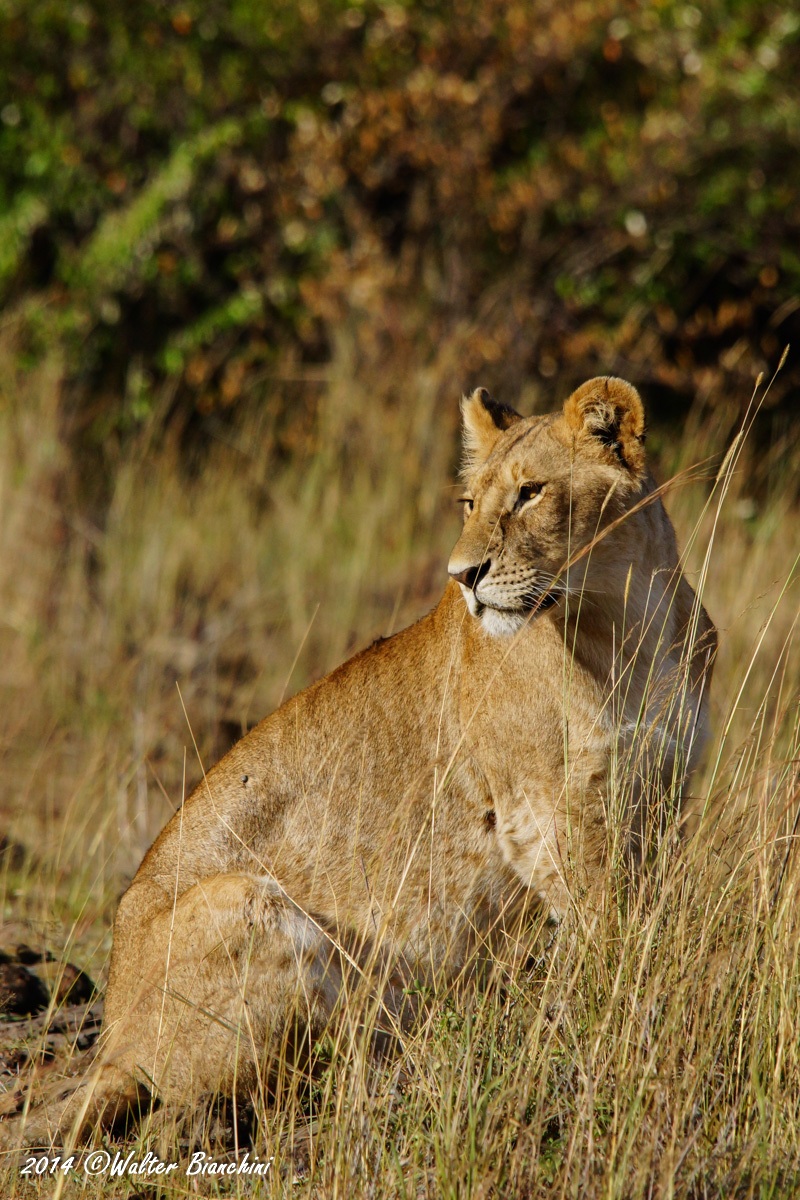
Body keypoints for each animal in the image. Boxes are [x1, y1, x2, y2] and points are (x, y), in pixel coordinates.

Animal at [3, 376, 715, 1146]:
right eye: (471, 502)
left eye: (531, 493)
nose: (463, 576)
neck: (627, 619)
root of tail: (110, 1044)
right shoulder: (545, 811)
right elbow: (606, 933)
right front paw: (617, 1019)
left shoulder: (658, 800)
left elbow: (647, 919)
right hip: (247, 902)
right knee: (287, 1073)